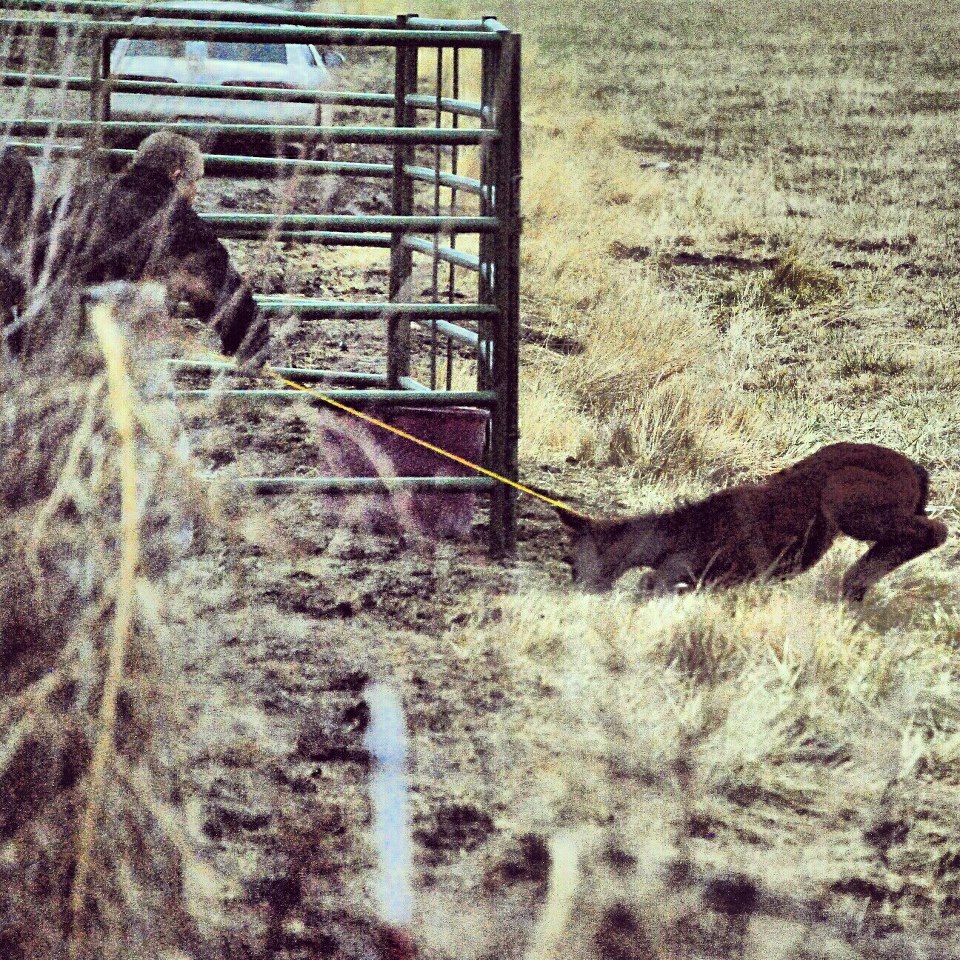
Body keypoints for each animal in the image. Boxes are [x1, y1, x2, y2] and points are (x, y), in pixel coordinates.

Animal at [560, 442, 948, 600]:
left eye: (572, 559)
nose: (581, 590)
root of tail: (917, 470)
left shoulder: (711, 574)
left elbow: (651, 586)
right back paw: (855, 585)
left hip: (846, 501)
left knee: (936, 530)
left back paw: (857, 579)